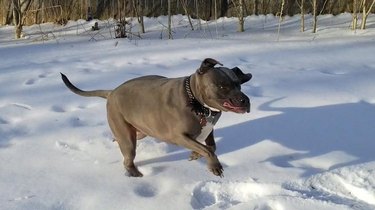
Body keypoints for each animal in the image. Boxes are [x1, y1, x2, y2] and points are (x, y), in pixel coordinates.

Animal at [61, 58, 253, 177]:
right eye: (222, 86)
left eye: (238, 84)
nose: (245, 100)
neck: (197, 102)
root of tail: (112, 92)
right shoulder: (179, 136)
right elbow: (207, 149)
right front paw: (214, 166)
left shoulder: (208, 129)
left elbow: (210, 146)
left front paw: (195, 155)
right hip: (129, 139)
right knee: (128, 157)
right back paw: (134, 173)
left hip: (139, 131)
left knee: (123, 140)